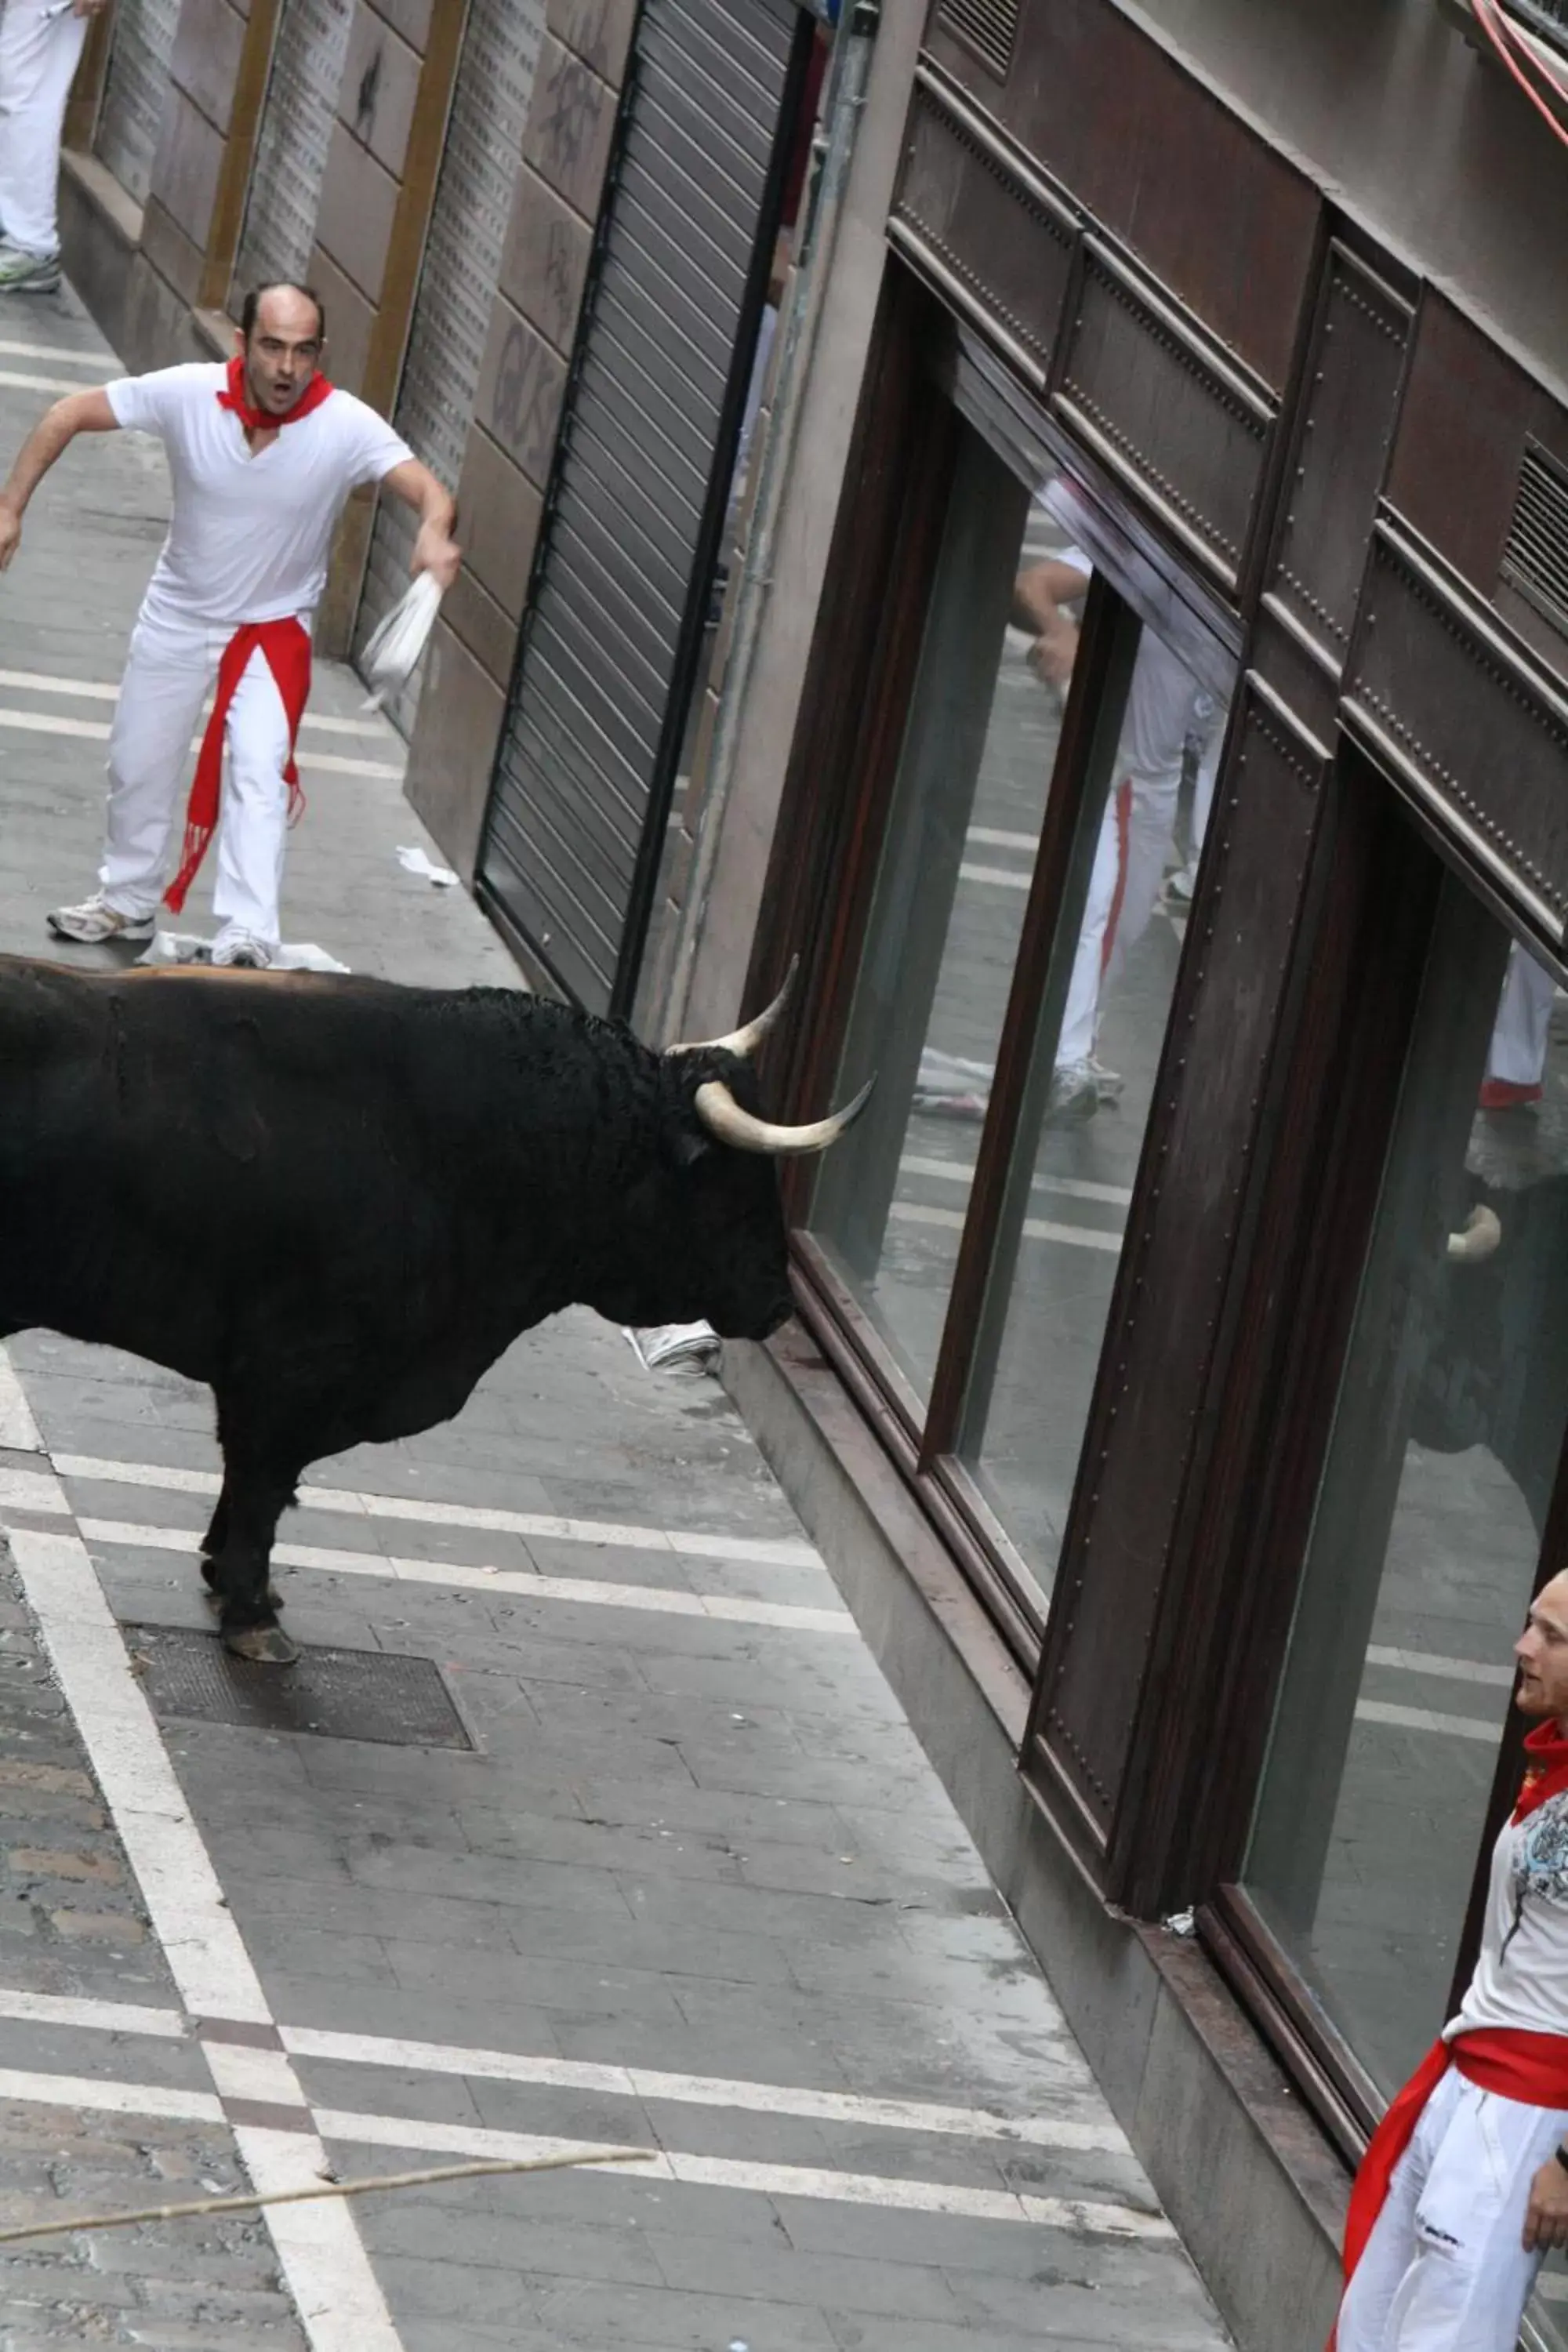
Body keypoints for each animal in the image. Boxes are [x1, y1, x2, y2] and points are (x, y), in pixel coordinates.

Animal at [0, 950, 860, 1656]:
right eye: (729, 1180)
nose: (778, 1303)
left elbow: (257, 1483)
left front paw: (234, 1580)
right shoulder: (293, 1370)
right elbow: (263, 1480)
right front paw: (251, 1611)